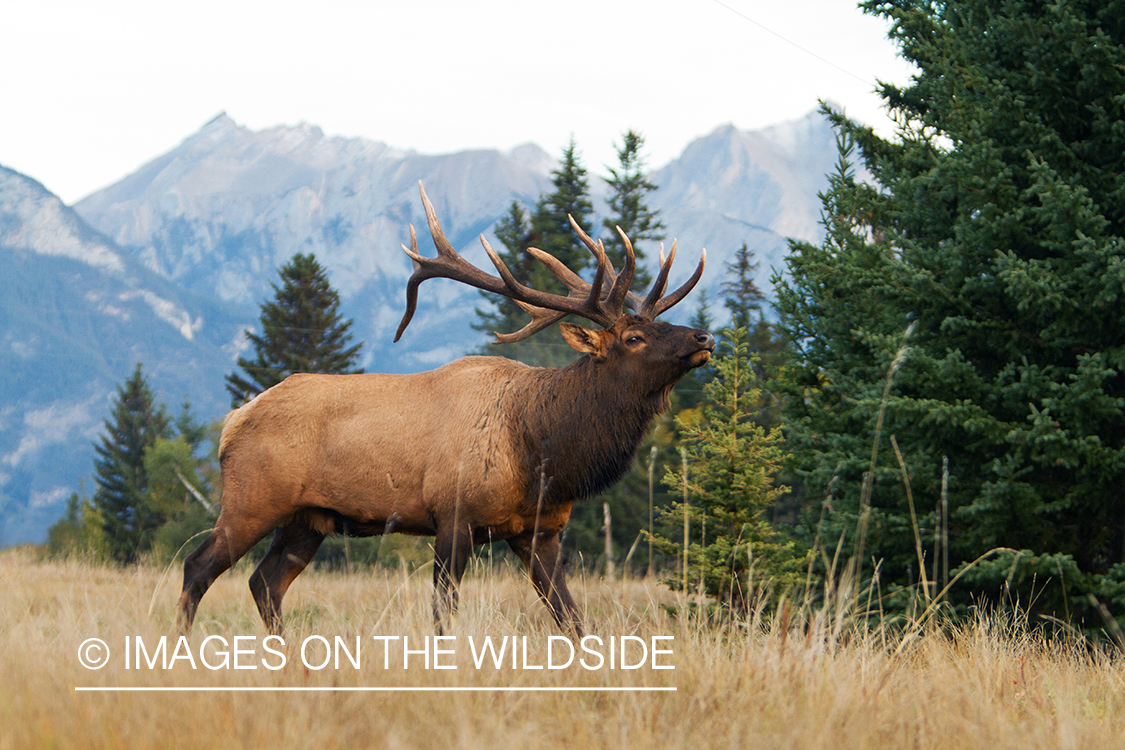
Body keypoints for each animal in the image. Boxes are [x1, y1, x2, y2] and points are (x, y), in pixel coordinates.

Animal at [180, 182, 715, 634]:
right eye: (633, 337)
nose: (704, 337)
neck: (542, 452)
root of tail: (232, 422)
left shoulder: (539, 531)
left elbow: (571, 618)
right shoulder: (453, 514)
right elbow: (443, 612)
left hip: (308, 518)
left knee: (265, 582)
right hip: (252, 500)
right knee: (198, 568)